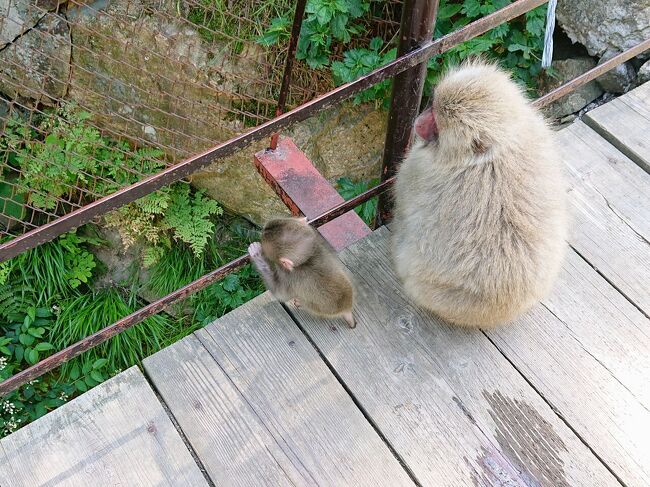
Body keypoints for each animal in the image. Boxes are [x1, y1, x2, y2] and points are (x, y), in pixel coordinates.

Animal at [392, 61, 564, 328]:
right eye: (432, 105)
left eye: (436, 123)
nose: (419, 121)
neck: (493, 152)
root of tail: (499, 310)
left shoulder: (417, 170)